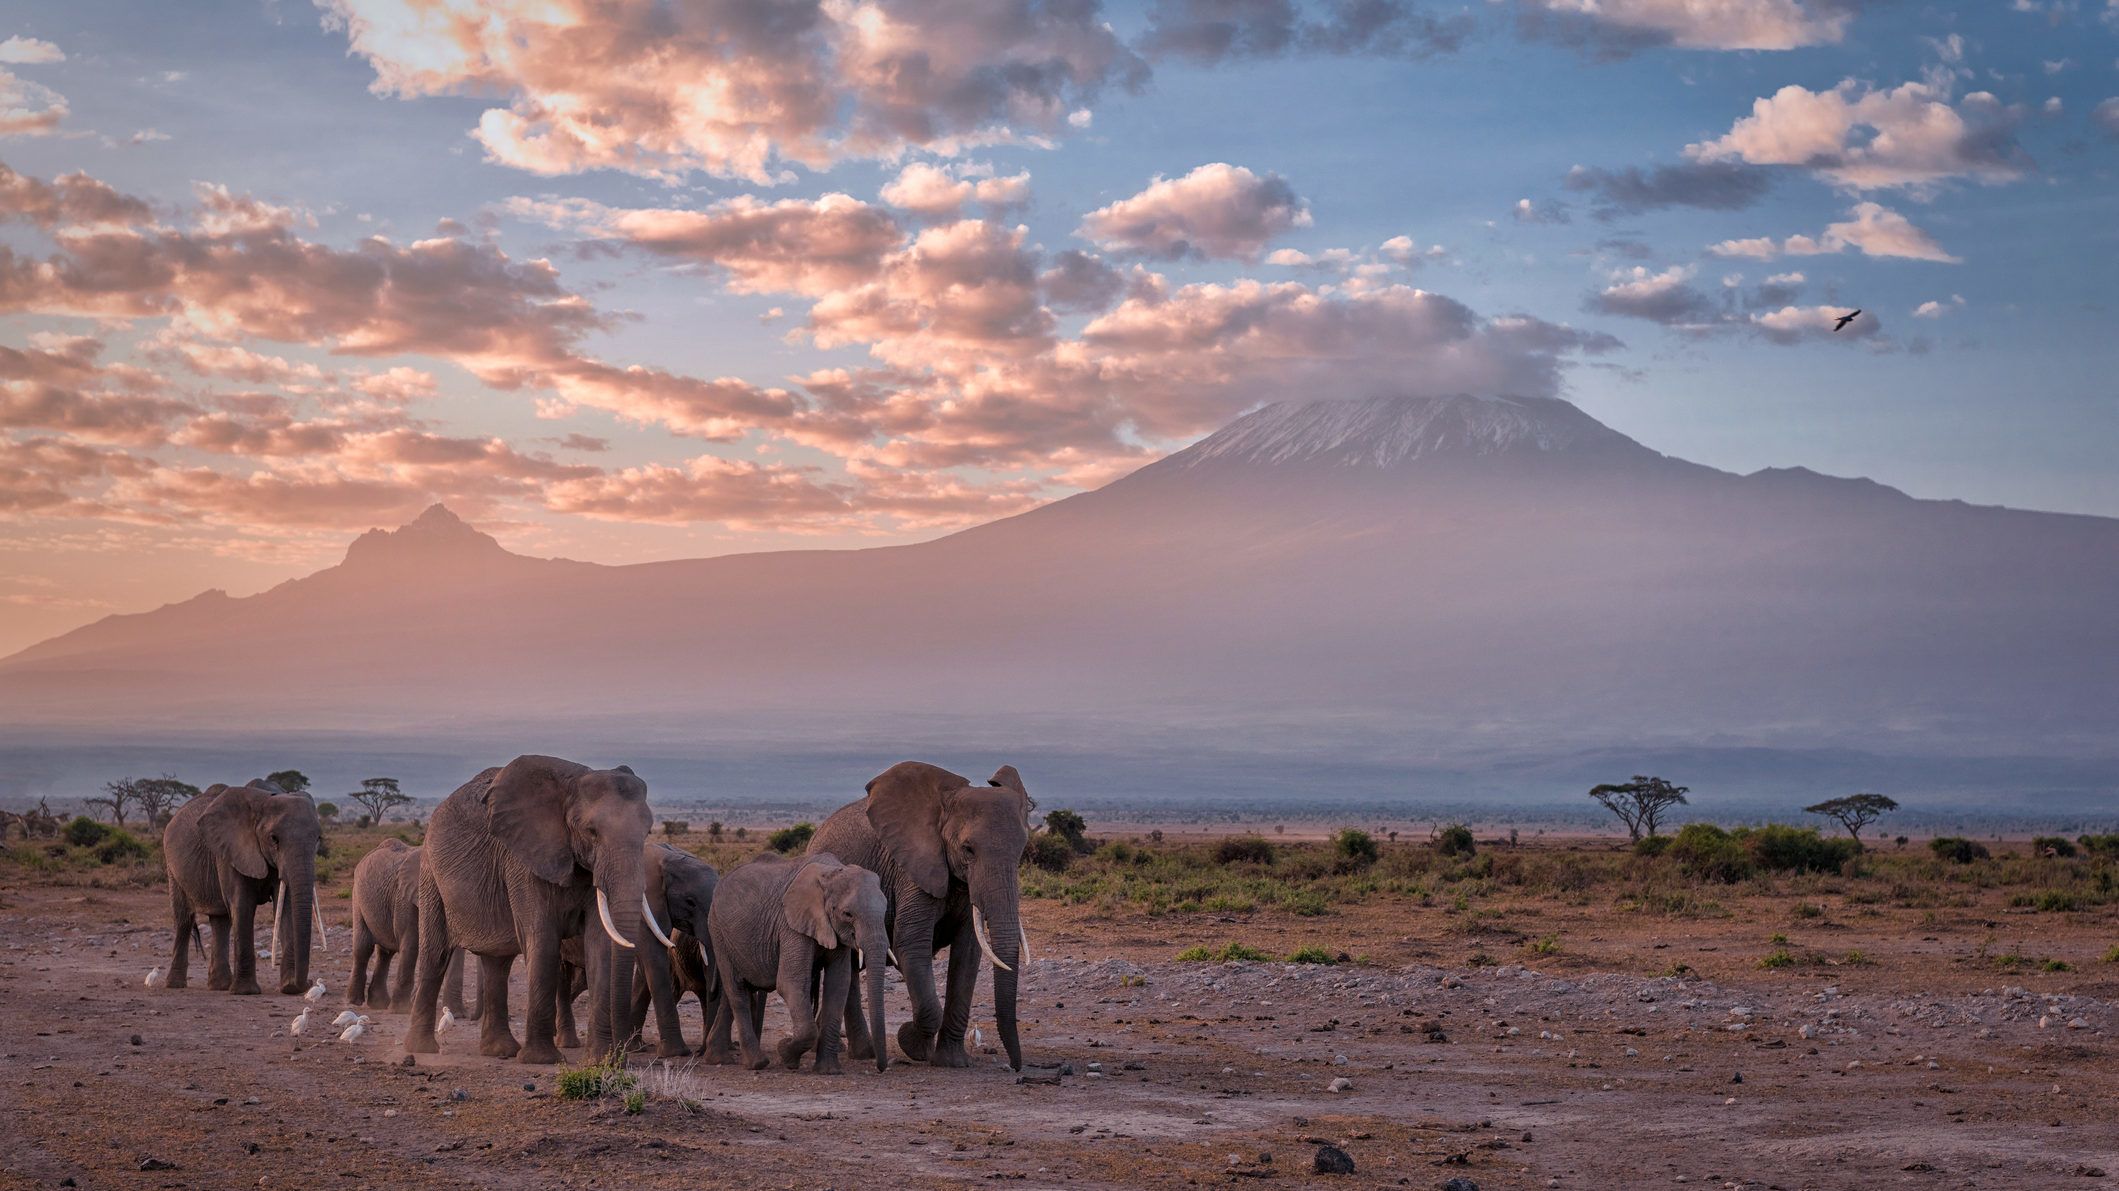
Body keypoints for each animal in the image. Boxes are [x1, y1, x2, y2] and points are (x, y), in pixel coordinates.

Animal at [159, 779, 322, 991]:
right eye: (274, 838)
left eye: (318, 838)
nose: (306, 983)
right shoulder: (230, 851)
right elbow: (242, 904)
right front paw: (246, 991)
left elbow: (285, 906)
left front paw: (289, 988)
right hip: (172, 867)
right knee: (184, 920)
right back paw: (175, 985)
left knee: (220, 921)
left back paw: (220, 986)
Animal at [349, 834, 474, 1008]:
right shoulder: (405, 898)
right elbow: (411, 943)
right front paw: (400, 1009)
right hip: (358, 897)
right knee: (364, 947)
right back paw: (355, 1002)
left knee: (385, 953)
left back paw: (379, 1004)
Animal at [398, 754, 661, 1059]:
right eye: (591, 832)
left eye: (648, 832)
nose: (620, 1053)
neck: (572, 784)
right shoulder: (523, 862)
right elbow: (542, 938)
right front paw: (541, 1060)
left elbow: (599, 943)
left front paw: (600, 1059)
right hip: (431, 874)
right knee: (436, 954)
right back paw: (423, 1048)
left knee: (497, 963)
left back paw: (499, 1051)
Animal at [703, 847, 885, 1072]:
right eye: (847, 914)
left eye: (886, 910)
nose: (880, 1067)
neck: (831, 873)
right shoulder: (790, 924)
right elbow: (790, 982)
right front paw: (786, 1053)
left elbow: (838, 984)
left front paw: (828, 1071)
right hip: (718, 931)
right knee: (736, 990)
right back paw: (756, 1063)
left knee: (733, 992)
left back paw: (716, 1059)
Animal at [809, 758, 1034, 1068]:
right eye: (968, 849)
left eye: (1022, 851)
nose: (1015, 1065)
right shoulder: (911, 870)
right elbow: (911, 945)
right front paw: (912, 1043)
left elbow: (968, 953)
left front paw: (952, 1062)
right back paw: (864, 1053)